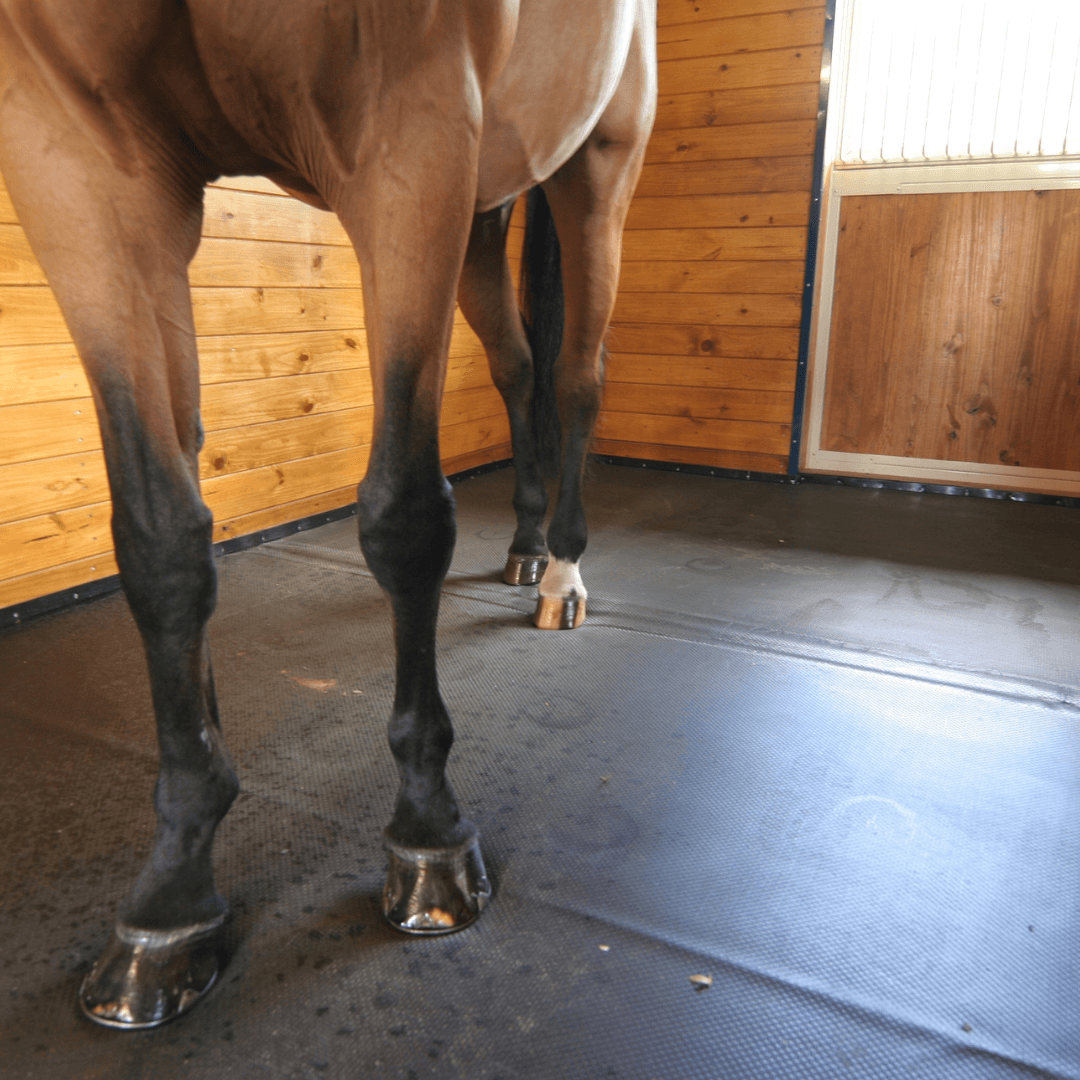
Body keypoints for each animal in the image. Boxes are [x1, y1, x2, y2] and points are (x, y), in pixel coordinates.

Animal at [0, 0, 656, 1028]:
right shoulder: (76, 162)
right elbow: (160, 537)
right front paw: (177, 883)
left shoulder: (411, 133)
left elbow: (405, 518)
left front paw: (429, 830)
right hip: (484, 213)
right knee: (516, 367)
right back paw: (523, 546)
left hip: (597, 166)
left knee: (576, 379)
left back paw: (562, 573)